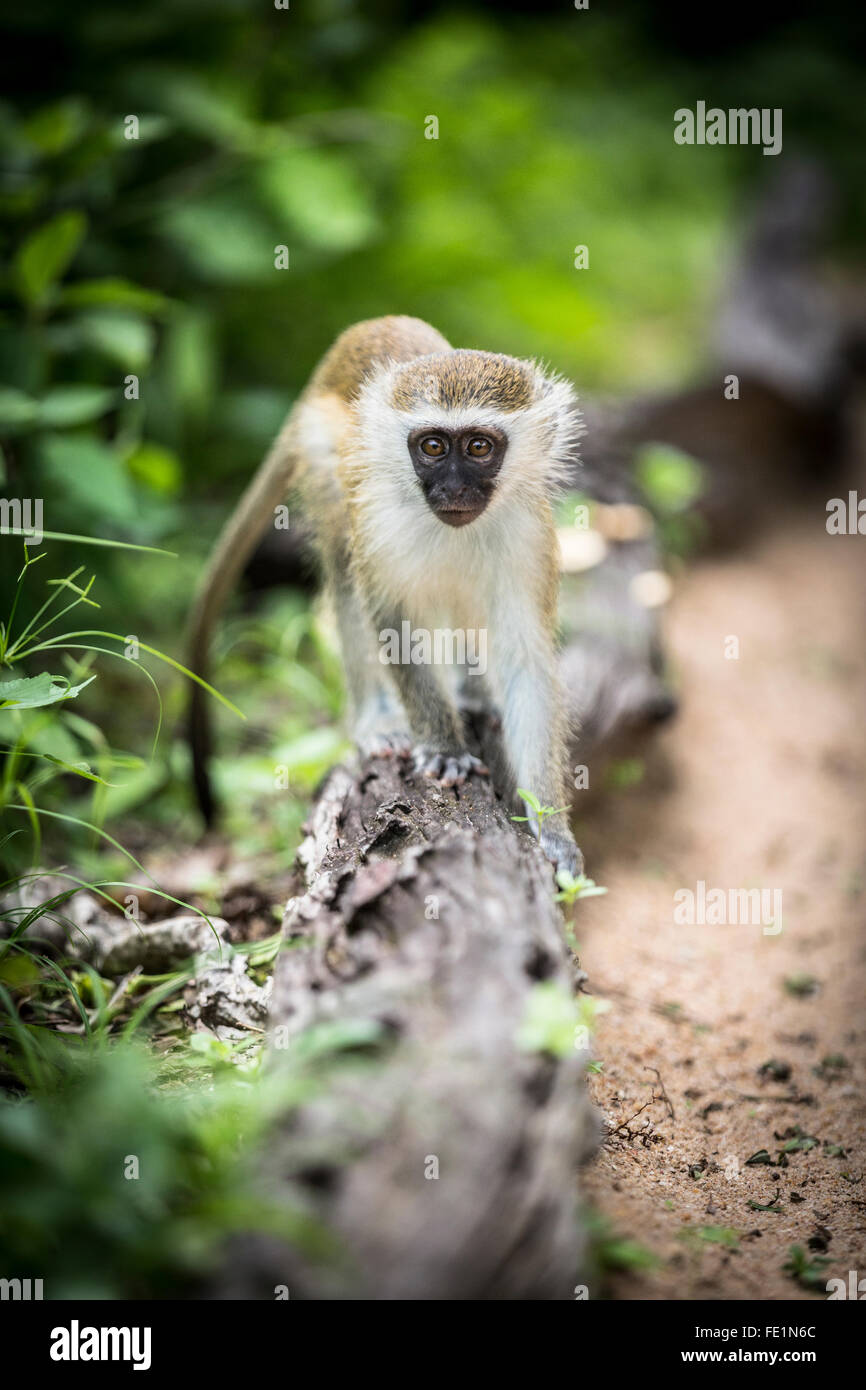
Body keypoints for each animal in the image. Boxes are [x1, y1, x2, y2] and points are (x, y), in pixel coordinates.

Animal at [189, 319, 583, 872]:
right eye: (433, 447)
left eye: (479, 447)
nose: (454, 490)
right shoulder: (378, 522)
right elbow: (393, 622)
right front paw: (442, 745)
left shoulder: (530, 533)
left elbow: (527, 660)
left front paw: (552, 826)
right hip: (324, 457)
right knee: (345, 572)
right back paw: (376, 719)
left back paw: (470, 692)